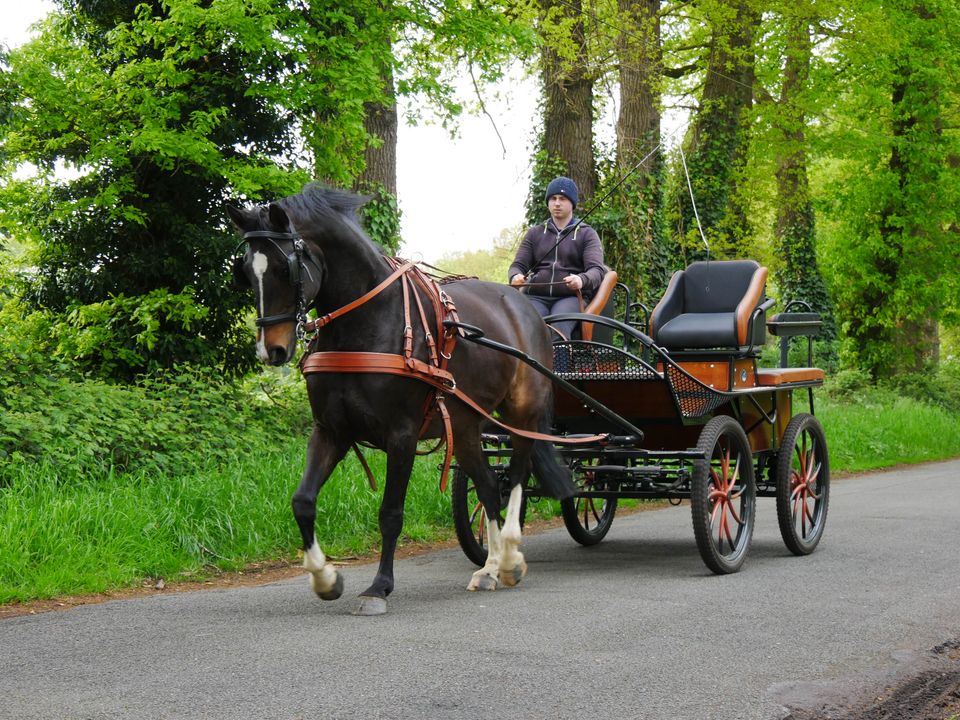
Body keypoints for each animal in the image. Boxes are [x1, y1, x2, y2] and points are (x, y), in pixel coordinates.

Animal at [229, 184, 572, 612]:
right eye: (245, 271)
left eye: (283, 268)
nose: (269, 350)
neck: (368, 322)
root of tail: (524, 305)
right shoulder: (330, 431)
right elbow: (302, 502)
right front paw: (325, 579)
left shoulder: (402, 435)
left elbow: (390, 513)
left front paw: (379, 586)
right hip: (464, 426)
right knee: (489, 486)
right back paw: (489, 568)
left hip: (522, 412)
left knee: (518, 476)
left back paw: (509, 557)